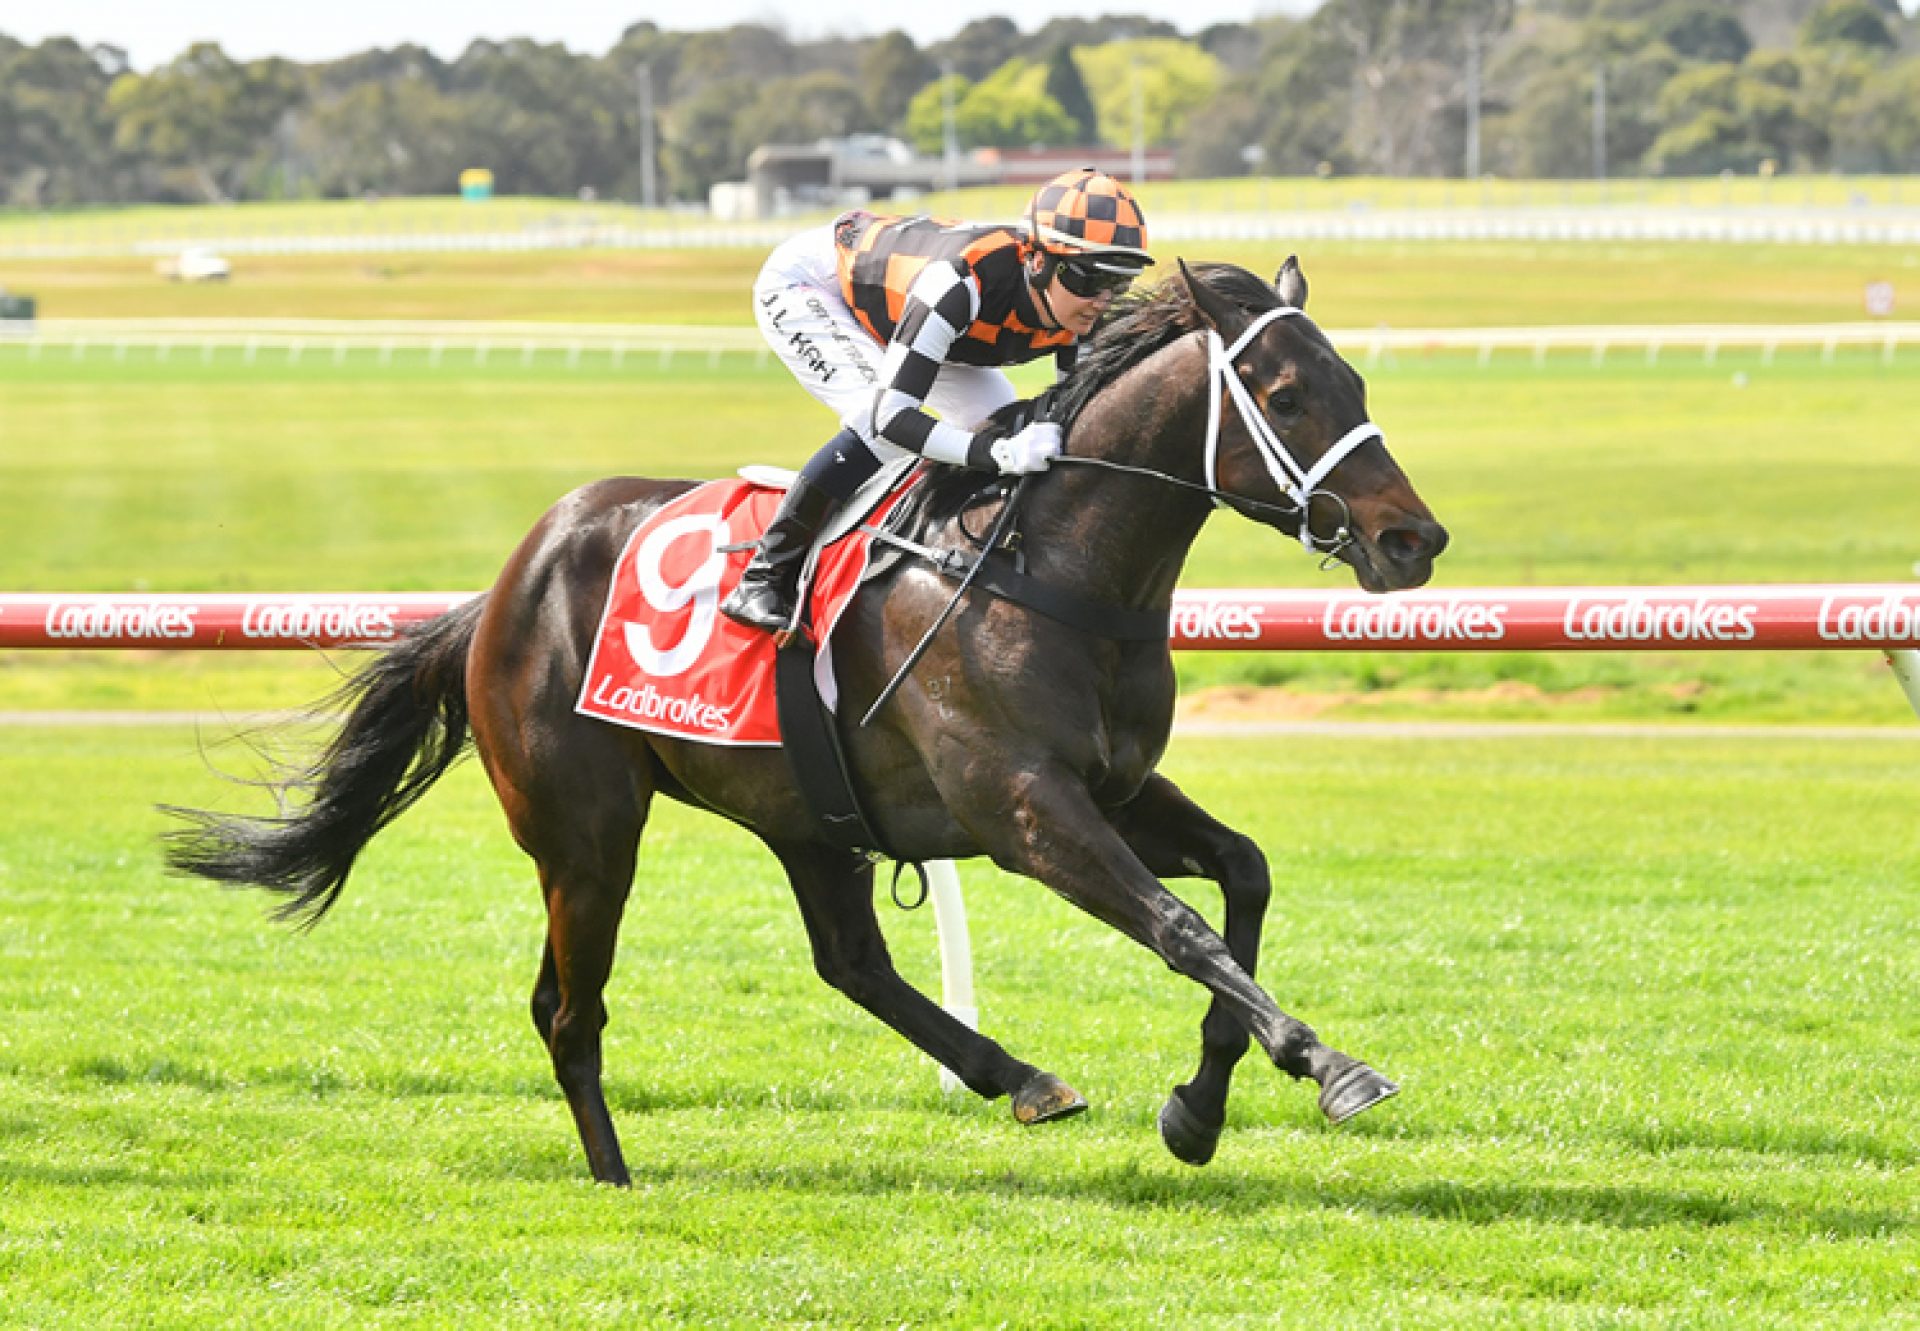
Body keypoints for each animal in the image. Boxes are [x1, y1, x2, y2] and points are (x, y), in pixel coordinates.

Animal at [172, 259, 1443, 1183]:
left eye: (1359, 386)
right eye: (1285, 396)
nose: (1411, 538)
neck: (1048, 566)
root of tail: (501, 587)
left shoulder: (1116, 789)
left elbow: (1245, 875)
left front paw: (1199, 1103)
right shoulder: (1025, 810)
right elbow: (1183, 927)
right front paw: (1329, 1062)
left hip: (804, 812)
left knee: (848, 960)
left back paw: (1017, 1075)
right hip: (587, 830)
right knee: (570, 1007)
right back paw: (614, 1172)